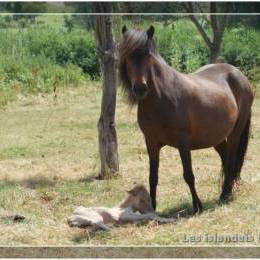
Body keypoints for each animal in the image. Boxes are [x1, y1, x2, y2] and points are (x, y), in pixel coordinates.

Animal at [119, 25, 254, 214]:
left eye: (148, 54)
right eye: (128, 54)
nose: (140, 88)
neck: (161, 99)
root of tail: (239, 75)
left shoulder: (183, 143)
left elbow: (188, 174)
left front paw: (197, 205)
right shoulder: (151, 142)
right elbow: (153, 176)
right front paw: (152, 208)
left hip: (235, 133)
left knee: (232, 160)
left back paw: (225, 195)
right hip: (216, 137)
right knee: (226, 159)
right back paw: (226, 192)